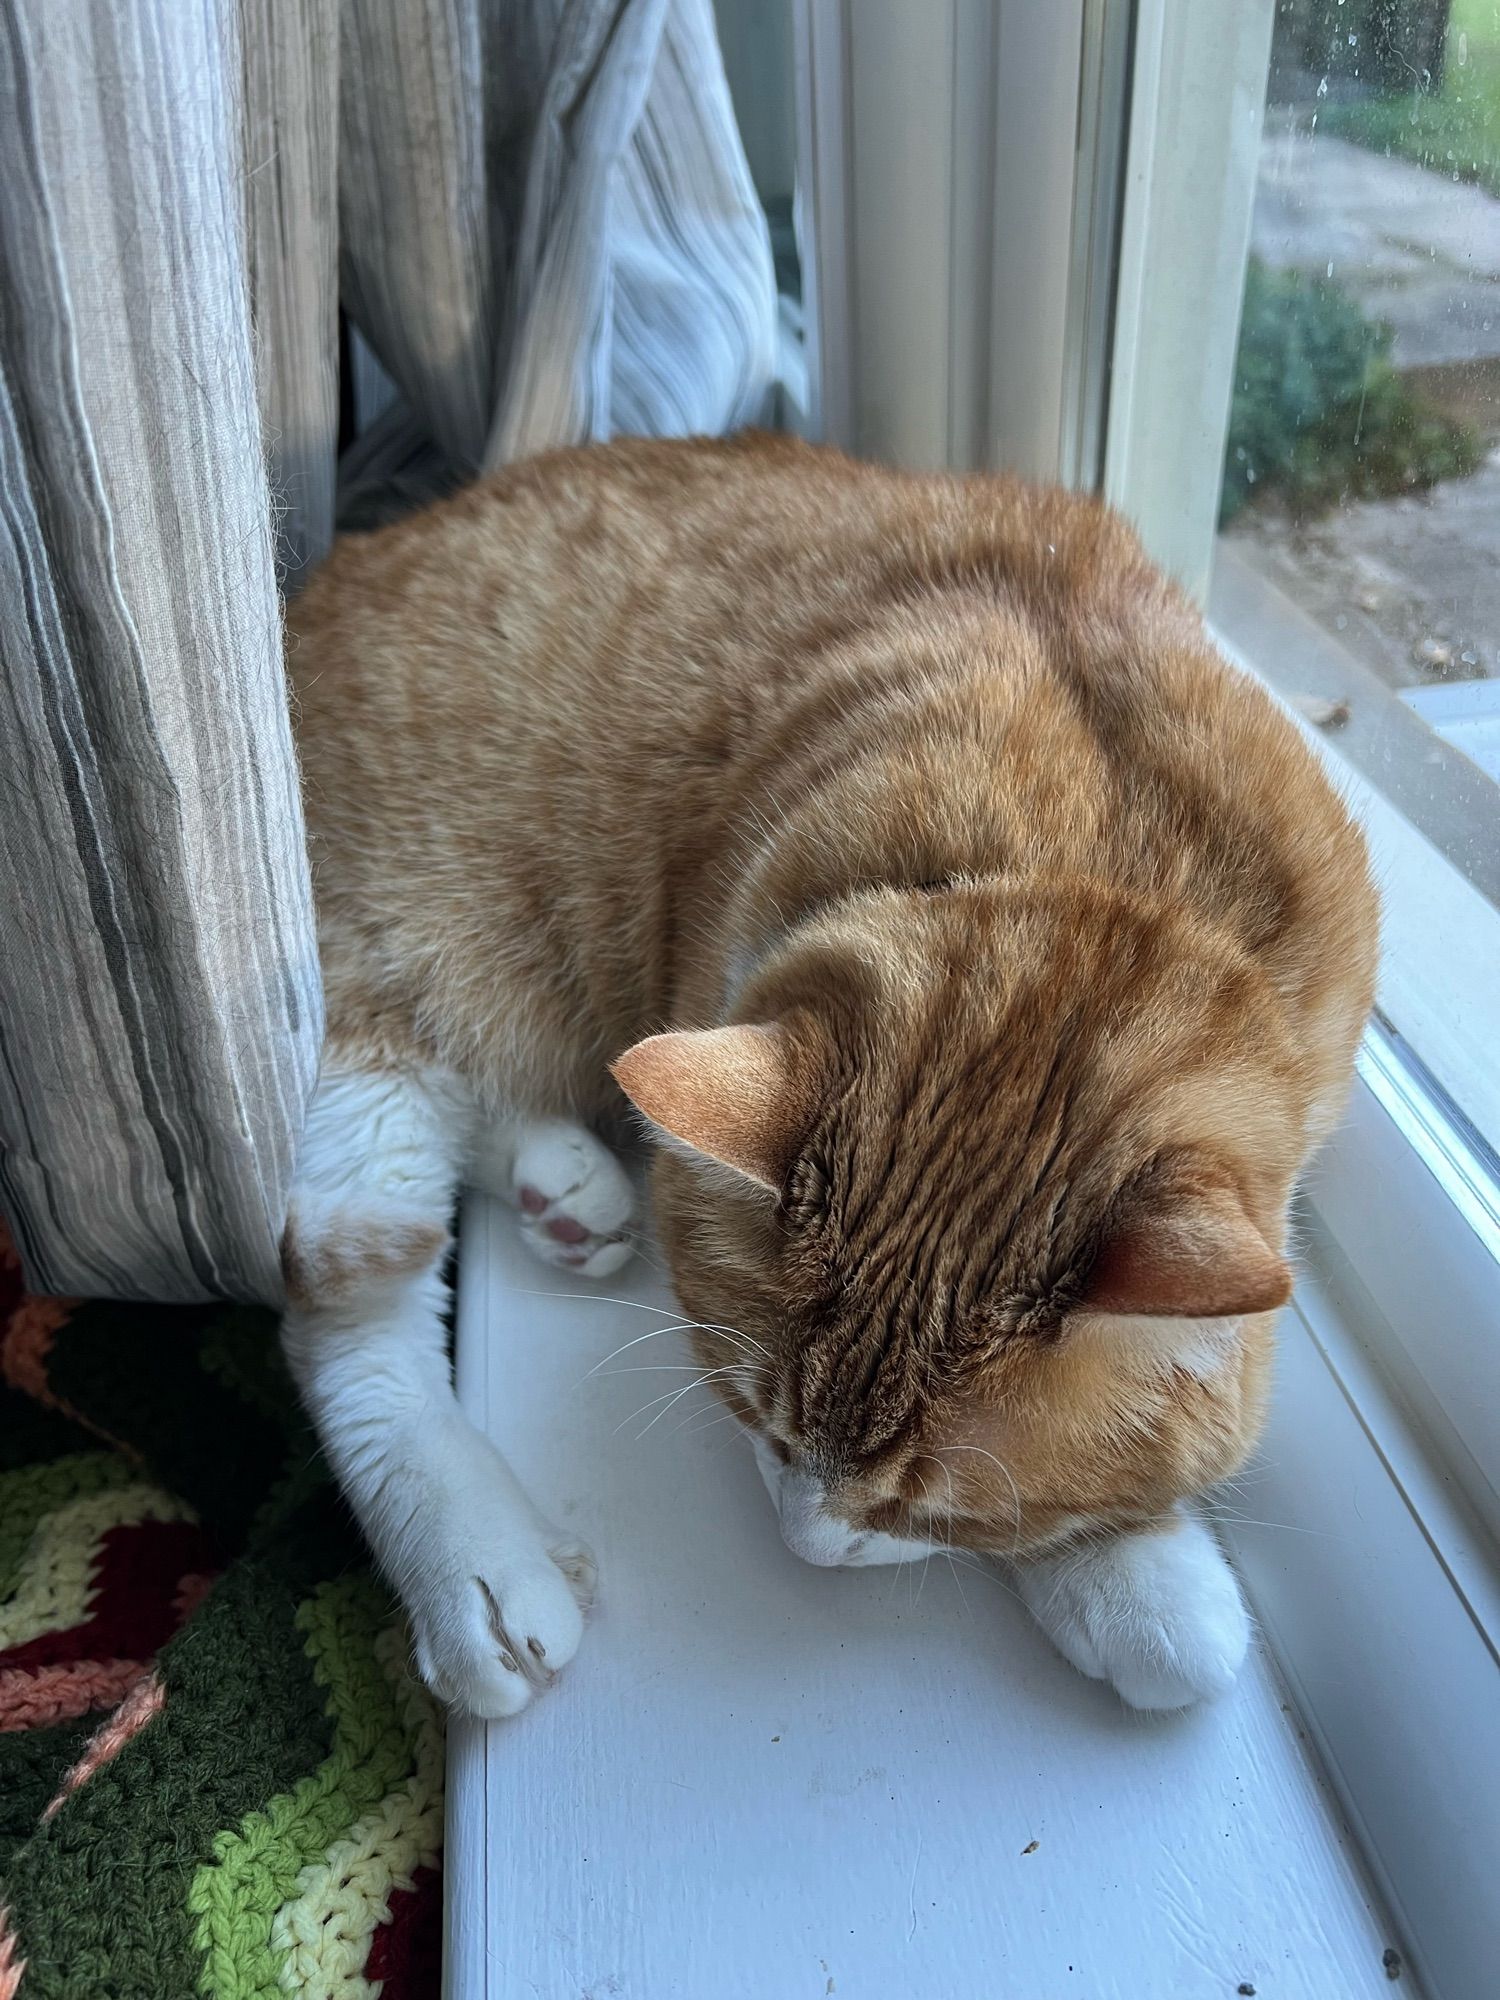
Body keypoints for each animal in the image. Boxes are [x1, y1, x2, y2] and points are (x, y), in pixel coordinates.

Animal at [280, 438, 1376, 1720]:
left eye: (929, 1506)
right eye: (755, 1418)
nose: (808, 1549)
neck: (1103, 848)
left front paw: (1126, 1567)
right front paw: (1140, 1577)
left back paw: (568, 1193)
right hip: (375, 1019)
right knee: (354, 1331)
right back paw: (480, 1574)